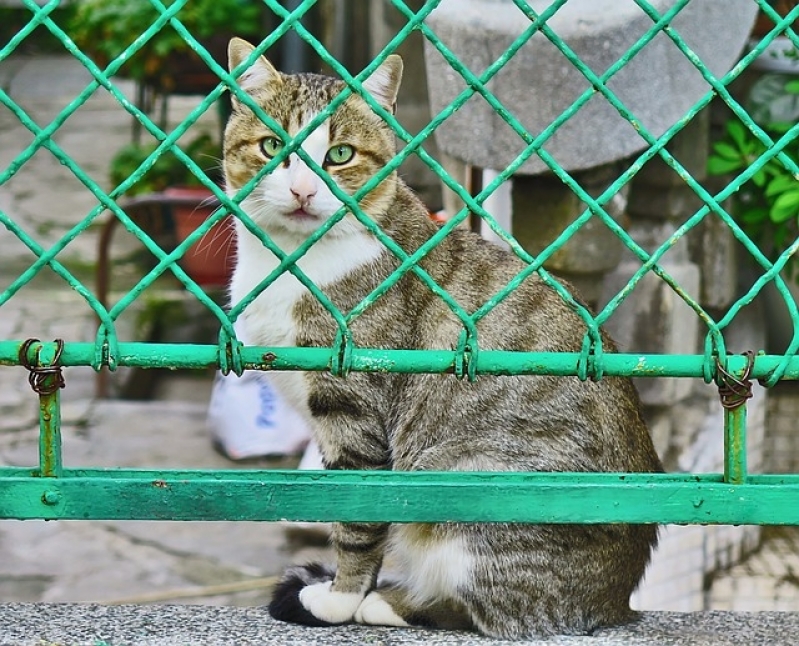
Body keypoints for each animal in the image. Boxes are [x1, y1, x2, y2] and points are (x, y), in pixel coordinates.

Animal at [223, 38, 664, 640]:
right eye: (272, 145)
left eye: (339, 154)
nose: (302, 189)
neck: (291, 261)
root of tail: (616, 599)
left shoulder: (354, 414)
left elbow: (355, 521)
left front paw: (339, 599)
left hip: (465, 481)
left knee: (491, 611)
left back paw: (387, 603)